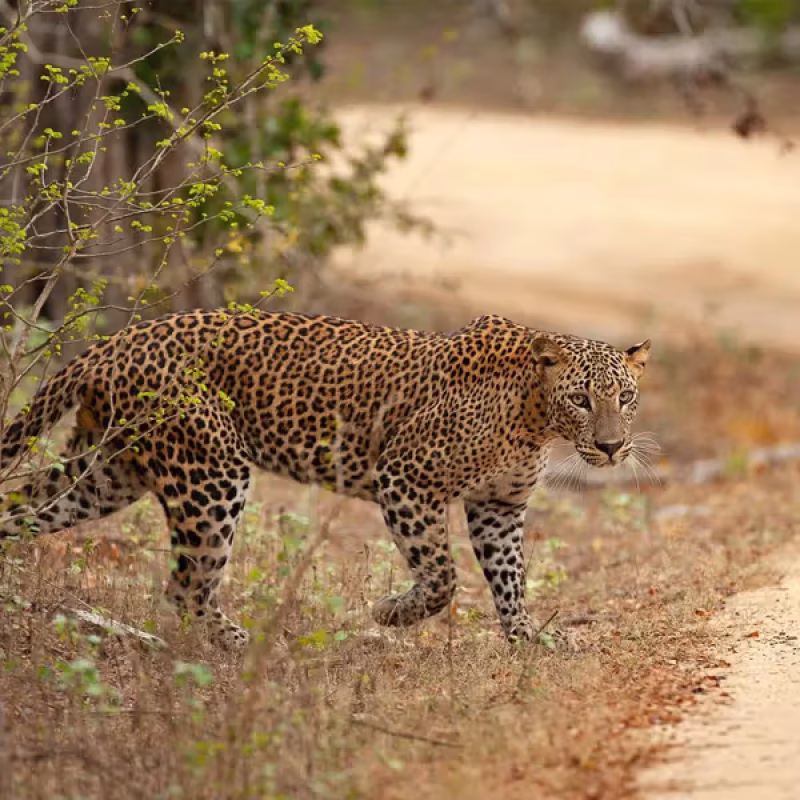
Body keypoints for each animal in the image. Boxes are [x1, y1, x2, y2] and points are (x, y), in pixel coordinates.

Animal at [0, 309, 650, 649]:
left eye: (625, 397)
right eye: (582, 399)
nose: (612, 447)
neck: (536, 418)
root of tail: (112, 341)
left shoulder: (499, 505)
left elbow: (510, 577)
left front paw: (529, 640)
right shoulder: (406, 478)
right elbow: (442, 577)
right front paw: (391, 615)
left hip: (104, 475)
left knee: (19, 511)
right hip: (212, 473)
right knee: (186, 588)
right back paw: (250, 648)